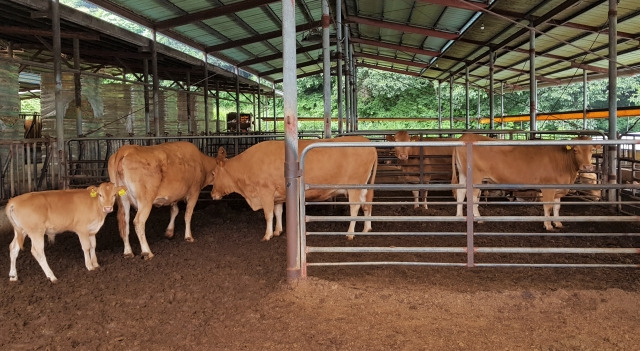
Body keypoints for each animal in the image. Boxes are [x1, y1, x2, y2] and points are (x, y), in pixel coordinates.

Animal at [210, 135, 380, 242]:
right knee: (367, 204)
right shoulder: (278, 194)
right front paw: (278, 231)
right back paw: (366, 228)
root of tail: (366, 142)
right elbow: (278, 212)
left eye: (213, 173)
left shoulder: (265, 192)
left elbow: (268, 214)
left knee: (355, 207)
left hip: (354, 187)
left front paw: (267, 235)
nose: (212, 194)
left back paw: (350, 233)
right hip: (364, 186)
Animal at [452, 135, 596, 231]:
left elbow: (557, 207)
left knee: (461, 192)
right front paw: (548, 225)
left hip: (464, 174)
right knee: (472, 196)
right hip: (475, 177)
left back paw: (459, 216)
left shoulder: (559, 189)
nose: (587, 167)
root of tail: (466, 136)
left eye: (591, 150)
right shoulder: (548, 188)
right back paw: (478, 218)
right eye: (575, 150)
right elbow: (548, 206)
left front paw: (558, 223)